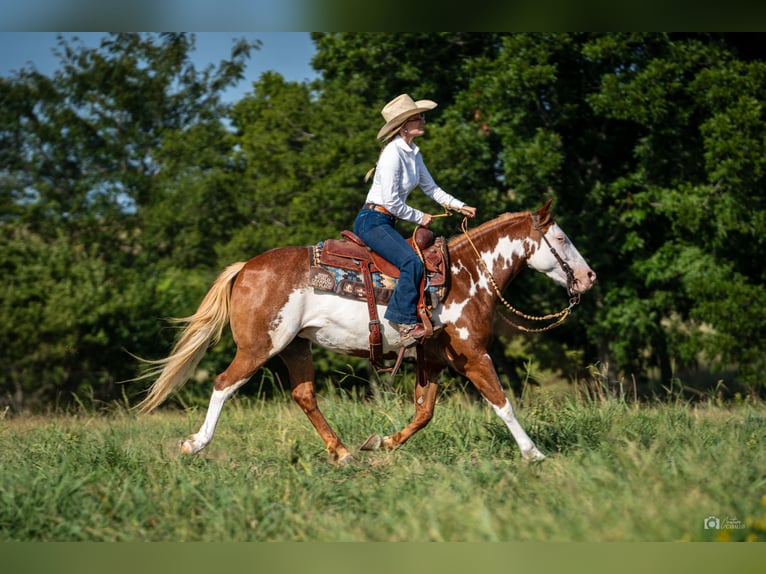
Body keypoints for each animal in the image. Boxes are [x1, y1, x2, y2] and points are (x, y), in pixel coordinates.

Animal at [138, 201, 596, 464]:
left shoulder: (434, 360)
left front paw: (381, 444)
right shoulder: (473, 355)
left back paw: (342, 453)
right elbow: (503, 404)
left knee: (304, 395)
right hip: (259, 347)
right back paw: (194, 445)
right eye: (560, 237)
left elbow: (424, 413)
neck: (467, 275)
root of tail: (246, 268)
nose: (589, 277)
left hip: (296, 348)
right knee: (223, 384)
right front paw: (534, 454)